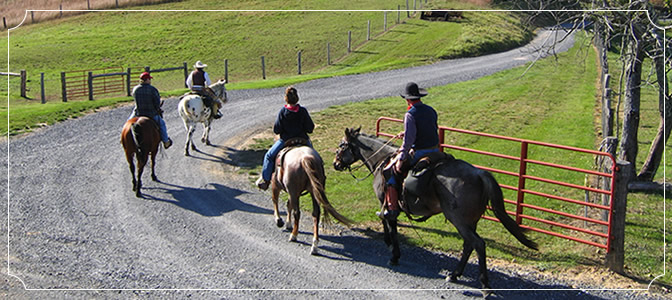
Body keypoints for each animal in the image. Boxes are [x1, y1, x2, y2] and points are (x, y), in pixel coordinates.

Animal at [334, 127, 540, 290]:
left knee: (478, 244)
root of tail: (480, 174)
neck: (382, 160)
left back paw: (484, 284)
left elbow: (389, 222)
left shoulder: (385, 201)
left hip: (459, 220)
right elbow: (386, 220)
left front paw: (393, 253)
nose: (335, 164)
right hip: (470, 222)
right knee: (468, 245)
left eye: (341, 146)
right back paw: (455, 274)